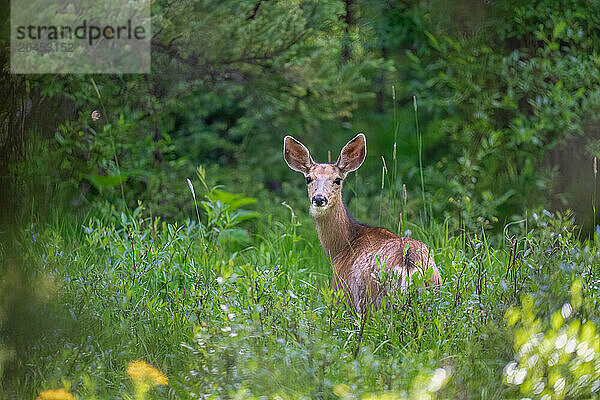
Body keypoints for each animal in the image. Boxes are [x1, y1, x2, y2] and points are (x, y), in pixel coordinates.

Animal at [282, 133, 440, 314]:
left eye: (337, 180)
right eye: (308, 179)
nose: (319, 198)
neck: (342, 246)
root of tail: (409, 264)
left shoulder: (342, 295)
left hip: (375, 303)